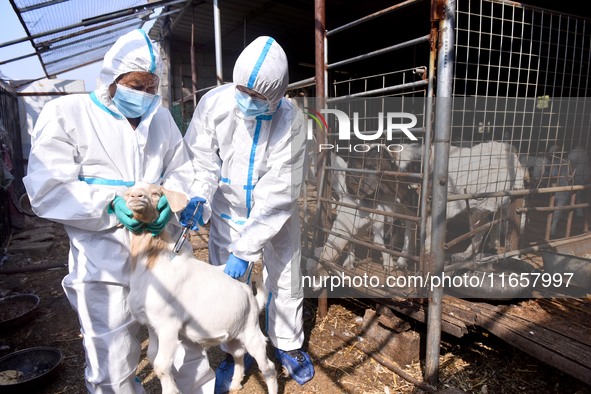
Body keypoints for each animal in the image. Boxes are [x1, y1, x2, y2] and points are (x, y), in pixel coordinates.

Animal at [123, 182, 280, 394]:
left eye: (156, 193)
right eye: (129, 192)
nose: (136, 196)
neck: (153, 264)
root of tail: (251, 296)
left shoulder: (168, 325)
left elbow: (161, 365)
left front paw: (171, 390)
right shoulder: (151, 325)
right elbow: (151, 356)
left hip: (252, 330)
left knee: (268, 367)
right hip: (234, 333)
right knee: (238, 353)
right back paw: (235, 384)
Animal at [346, 140, 528, 264]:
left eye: (367, 164)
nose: (349, 187)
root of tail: (509, 149)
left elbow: (426, 237)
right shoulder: (410, 208)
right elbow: (407, 230)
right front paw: (401, 258)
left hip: (504, 196)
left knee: (509, 221)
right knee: (492, 221)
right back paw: (490, 245)